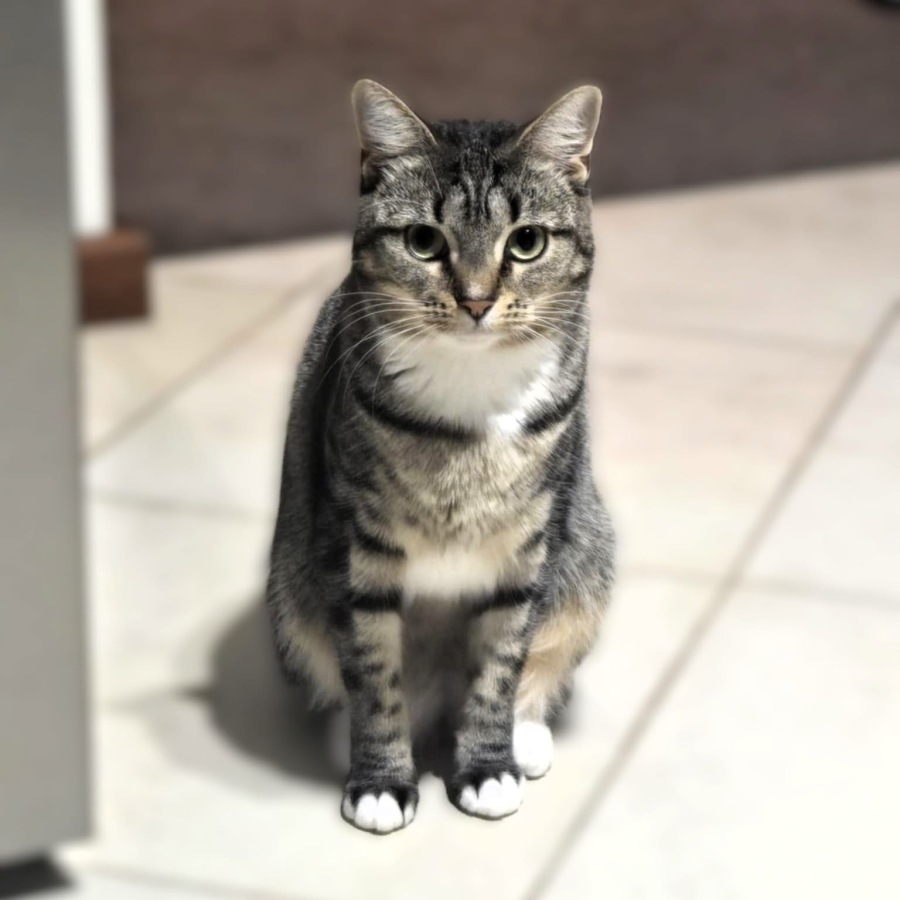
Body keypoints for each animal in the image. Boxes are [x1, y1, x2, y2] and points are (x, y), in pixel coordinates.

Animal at [266, 80, 615, 834]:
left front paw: (487, 768)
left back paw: (525, 737)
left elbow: (500, 667)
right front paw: (380, 782)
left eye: (527, 241)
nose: (477, 301)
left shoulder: (526, 551)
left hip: (587, 560)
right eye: (424, 240)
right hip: (290, 592)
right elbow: (373, 677)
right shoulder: (356, 548)